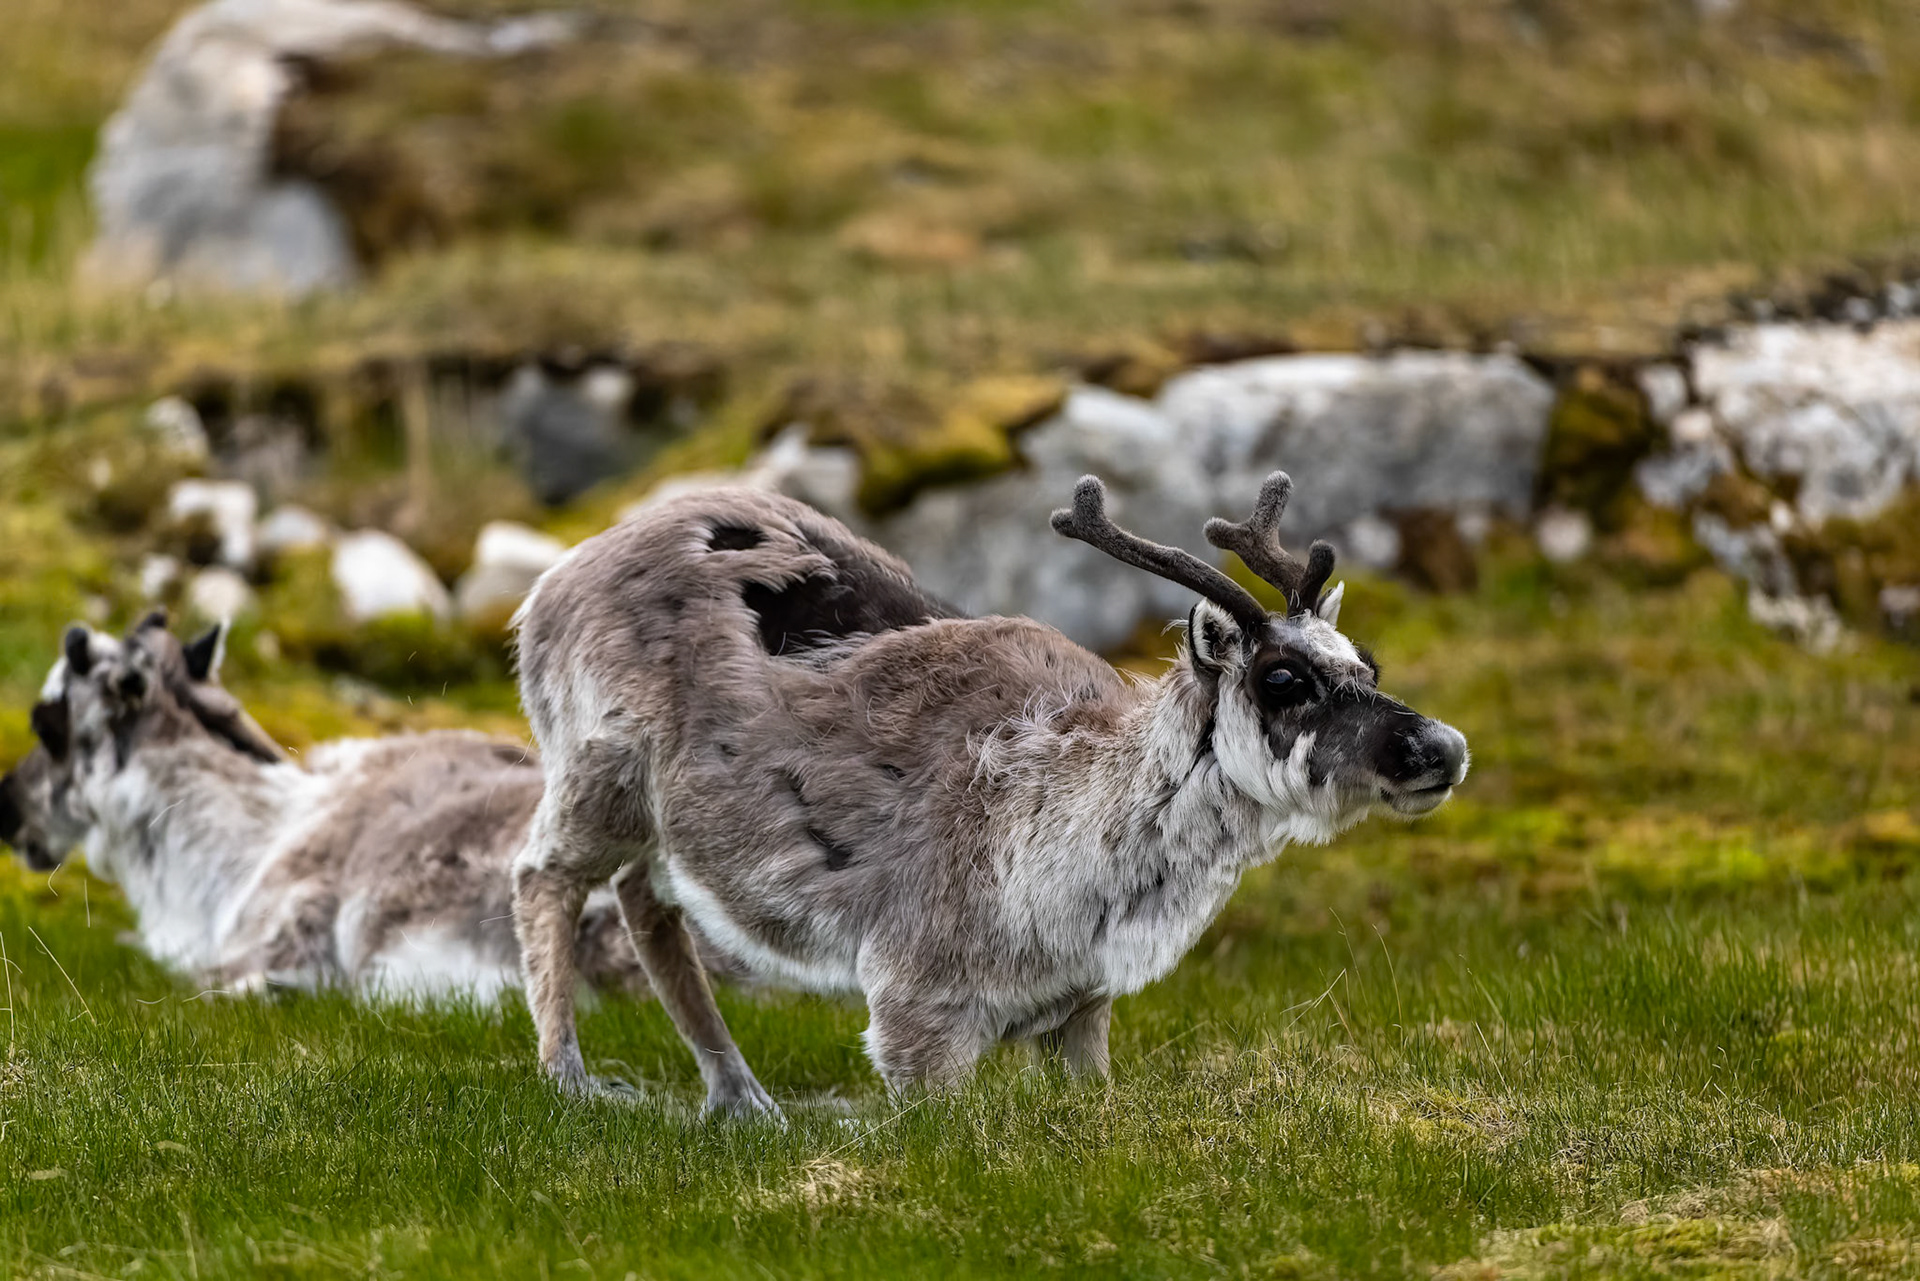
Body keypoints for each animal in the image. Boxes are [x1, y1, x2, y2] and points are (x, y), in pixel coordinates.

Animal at [509, 469, 1469, 1117]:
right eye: (1281, 678)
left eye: (1368, 662)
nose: (1443, 746)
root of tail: (550, 583)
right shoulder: (913, 1009)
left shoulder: (1081, 1008)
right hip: (598, 772)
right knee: (542, 875)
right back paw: (571, 1079)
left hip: (660, 826)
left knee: (647, 904)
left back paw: (741, 1097)